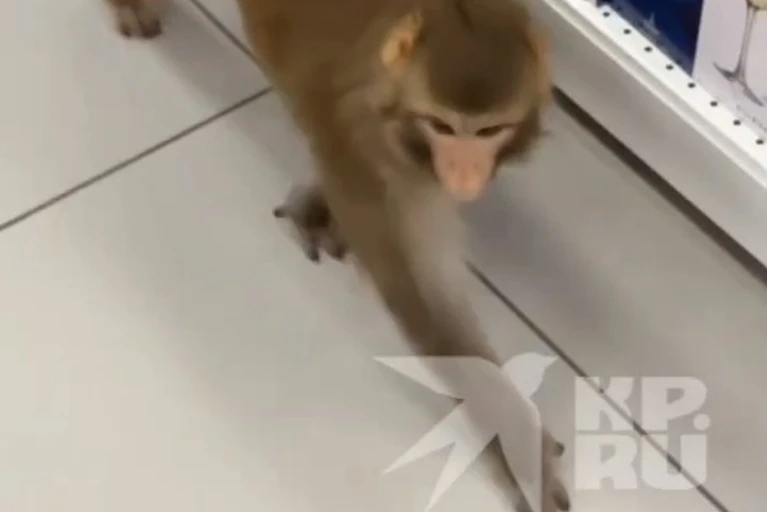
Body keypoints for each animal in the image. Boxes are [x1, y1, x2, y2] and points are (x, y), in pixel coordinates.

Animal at [103, 0, 570, 510]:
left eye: (490, 130)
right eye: (443, 126)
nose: (464, 177)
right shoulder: (369, 145)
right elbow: (419, 295)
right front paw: (519, 447)